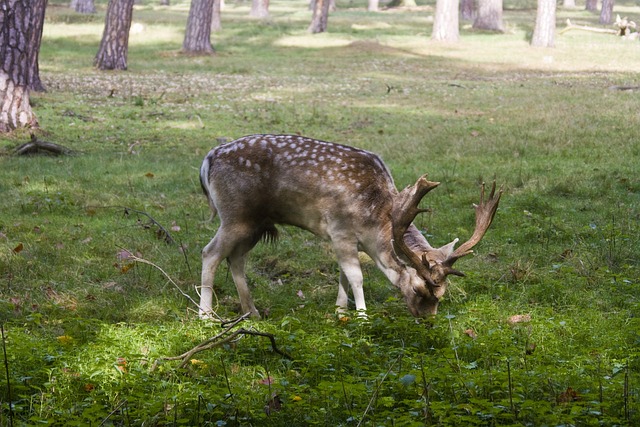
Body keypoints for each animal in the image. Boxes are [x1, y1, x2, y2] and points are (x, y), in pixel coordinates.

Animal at [198, 135, 502, 320]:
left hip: (255, 223)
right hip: (235, 215)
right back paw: (206, 316)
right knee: (210, 253)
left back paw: (253, 312)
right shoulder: (340, 229)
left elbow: (343, 273)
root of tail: (208, 158)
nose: (427, 319)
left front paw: (341, 311)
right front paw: (362, 317)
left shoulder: (346, 239)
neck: (374, 223)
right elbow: (356, 276)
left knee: (236, 259)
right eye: (418, 290)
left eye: (442, 294)